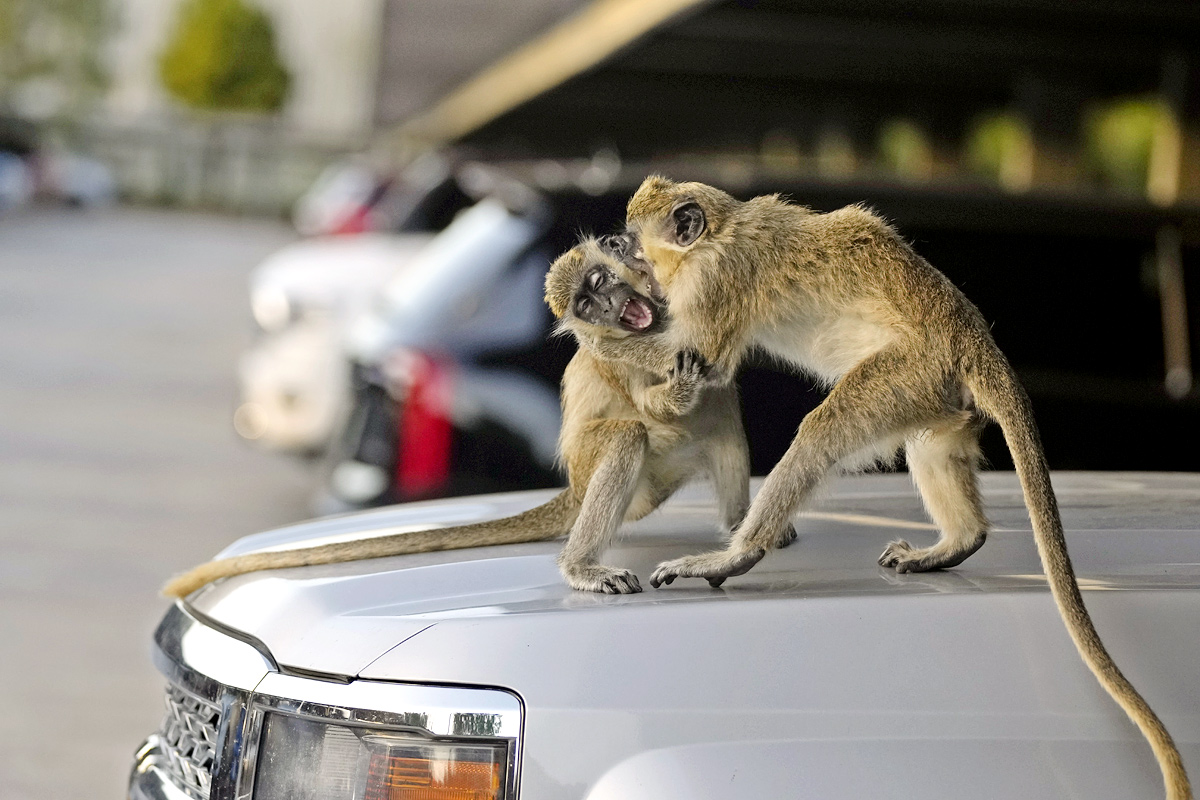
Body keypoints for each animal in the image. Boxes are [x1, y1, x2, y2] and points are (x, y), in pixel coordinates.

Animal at [162, 237, 777, 599]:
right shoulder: (614, 352)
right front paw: (677, 384)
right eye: (585, 305)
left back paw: (737, 531)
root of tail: (577, 491)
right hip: (624, 474)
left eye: (600, 285)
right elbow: (649, 401)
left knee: (723, 411)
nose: (604, 307)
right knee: (630, 434)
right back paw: (583, 565)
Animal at [590, 175, 1190, 800]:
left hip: (909, 372)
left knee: (824, 430)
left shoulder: (716, 283)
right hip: (935, 390)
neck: (719, 234)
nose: (609, 242)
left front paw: (593, 335)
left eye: (631, 239)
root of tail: (974, 339)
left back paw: (737, 555)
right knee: (931, 449)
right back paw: (958, 541)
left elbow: (699, 360)